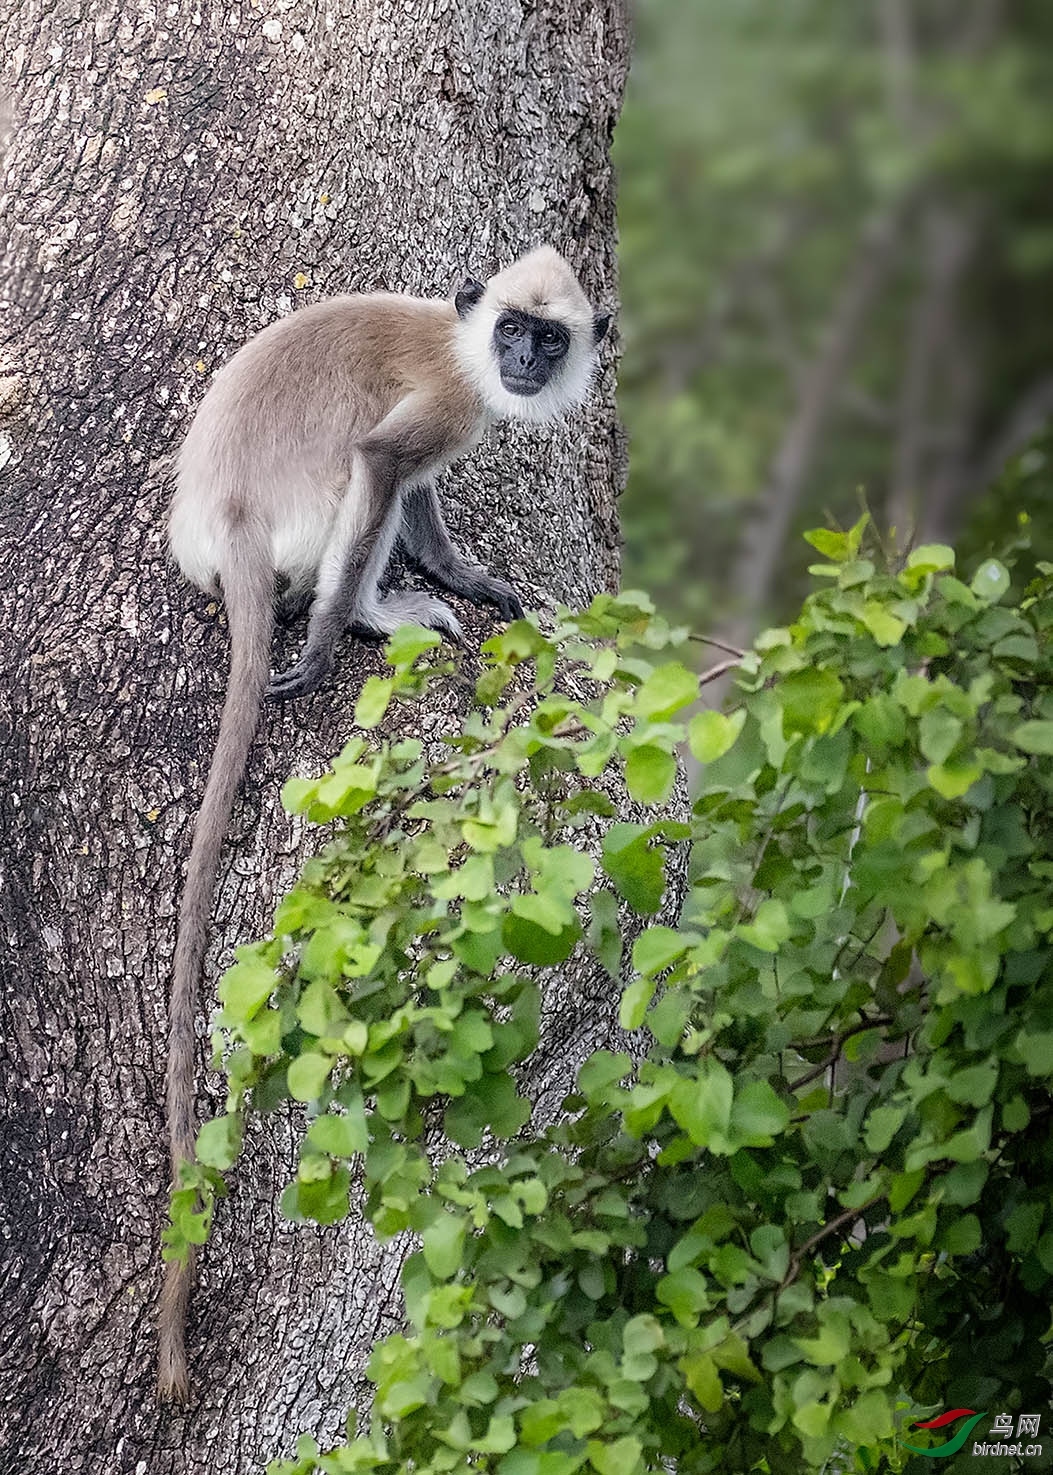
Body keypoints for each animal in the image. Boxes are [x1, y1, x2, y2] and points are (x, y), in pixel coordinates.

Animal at [160, 244, 610, 1404]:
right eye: (513, 332)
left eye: (550, 337)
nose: (523, 363)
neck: (462, 342)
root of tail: (227, 514)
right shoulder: (451, 402)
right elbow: (387, 461)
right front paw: (328, 643)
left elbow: (423, 495)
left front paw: (463, 571)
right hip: (309, 514)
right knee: (364, 485)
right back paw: (357, 616)